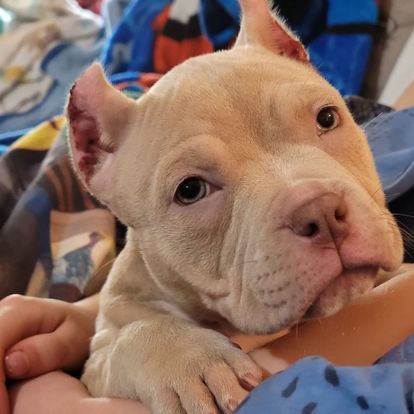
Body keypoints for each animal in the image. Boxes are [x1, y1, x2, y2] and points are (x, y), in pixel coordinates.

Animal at [66, 0, 403, 412]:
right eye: (191, 190)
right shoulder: (97, 362)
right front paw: (194, 361)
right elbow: (131, 339)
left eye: (326, 118)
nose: (321, 211)